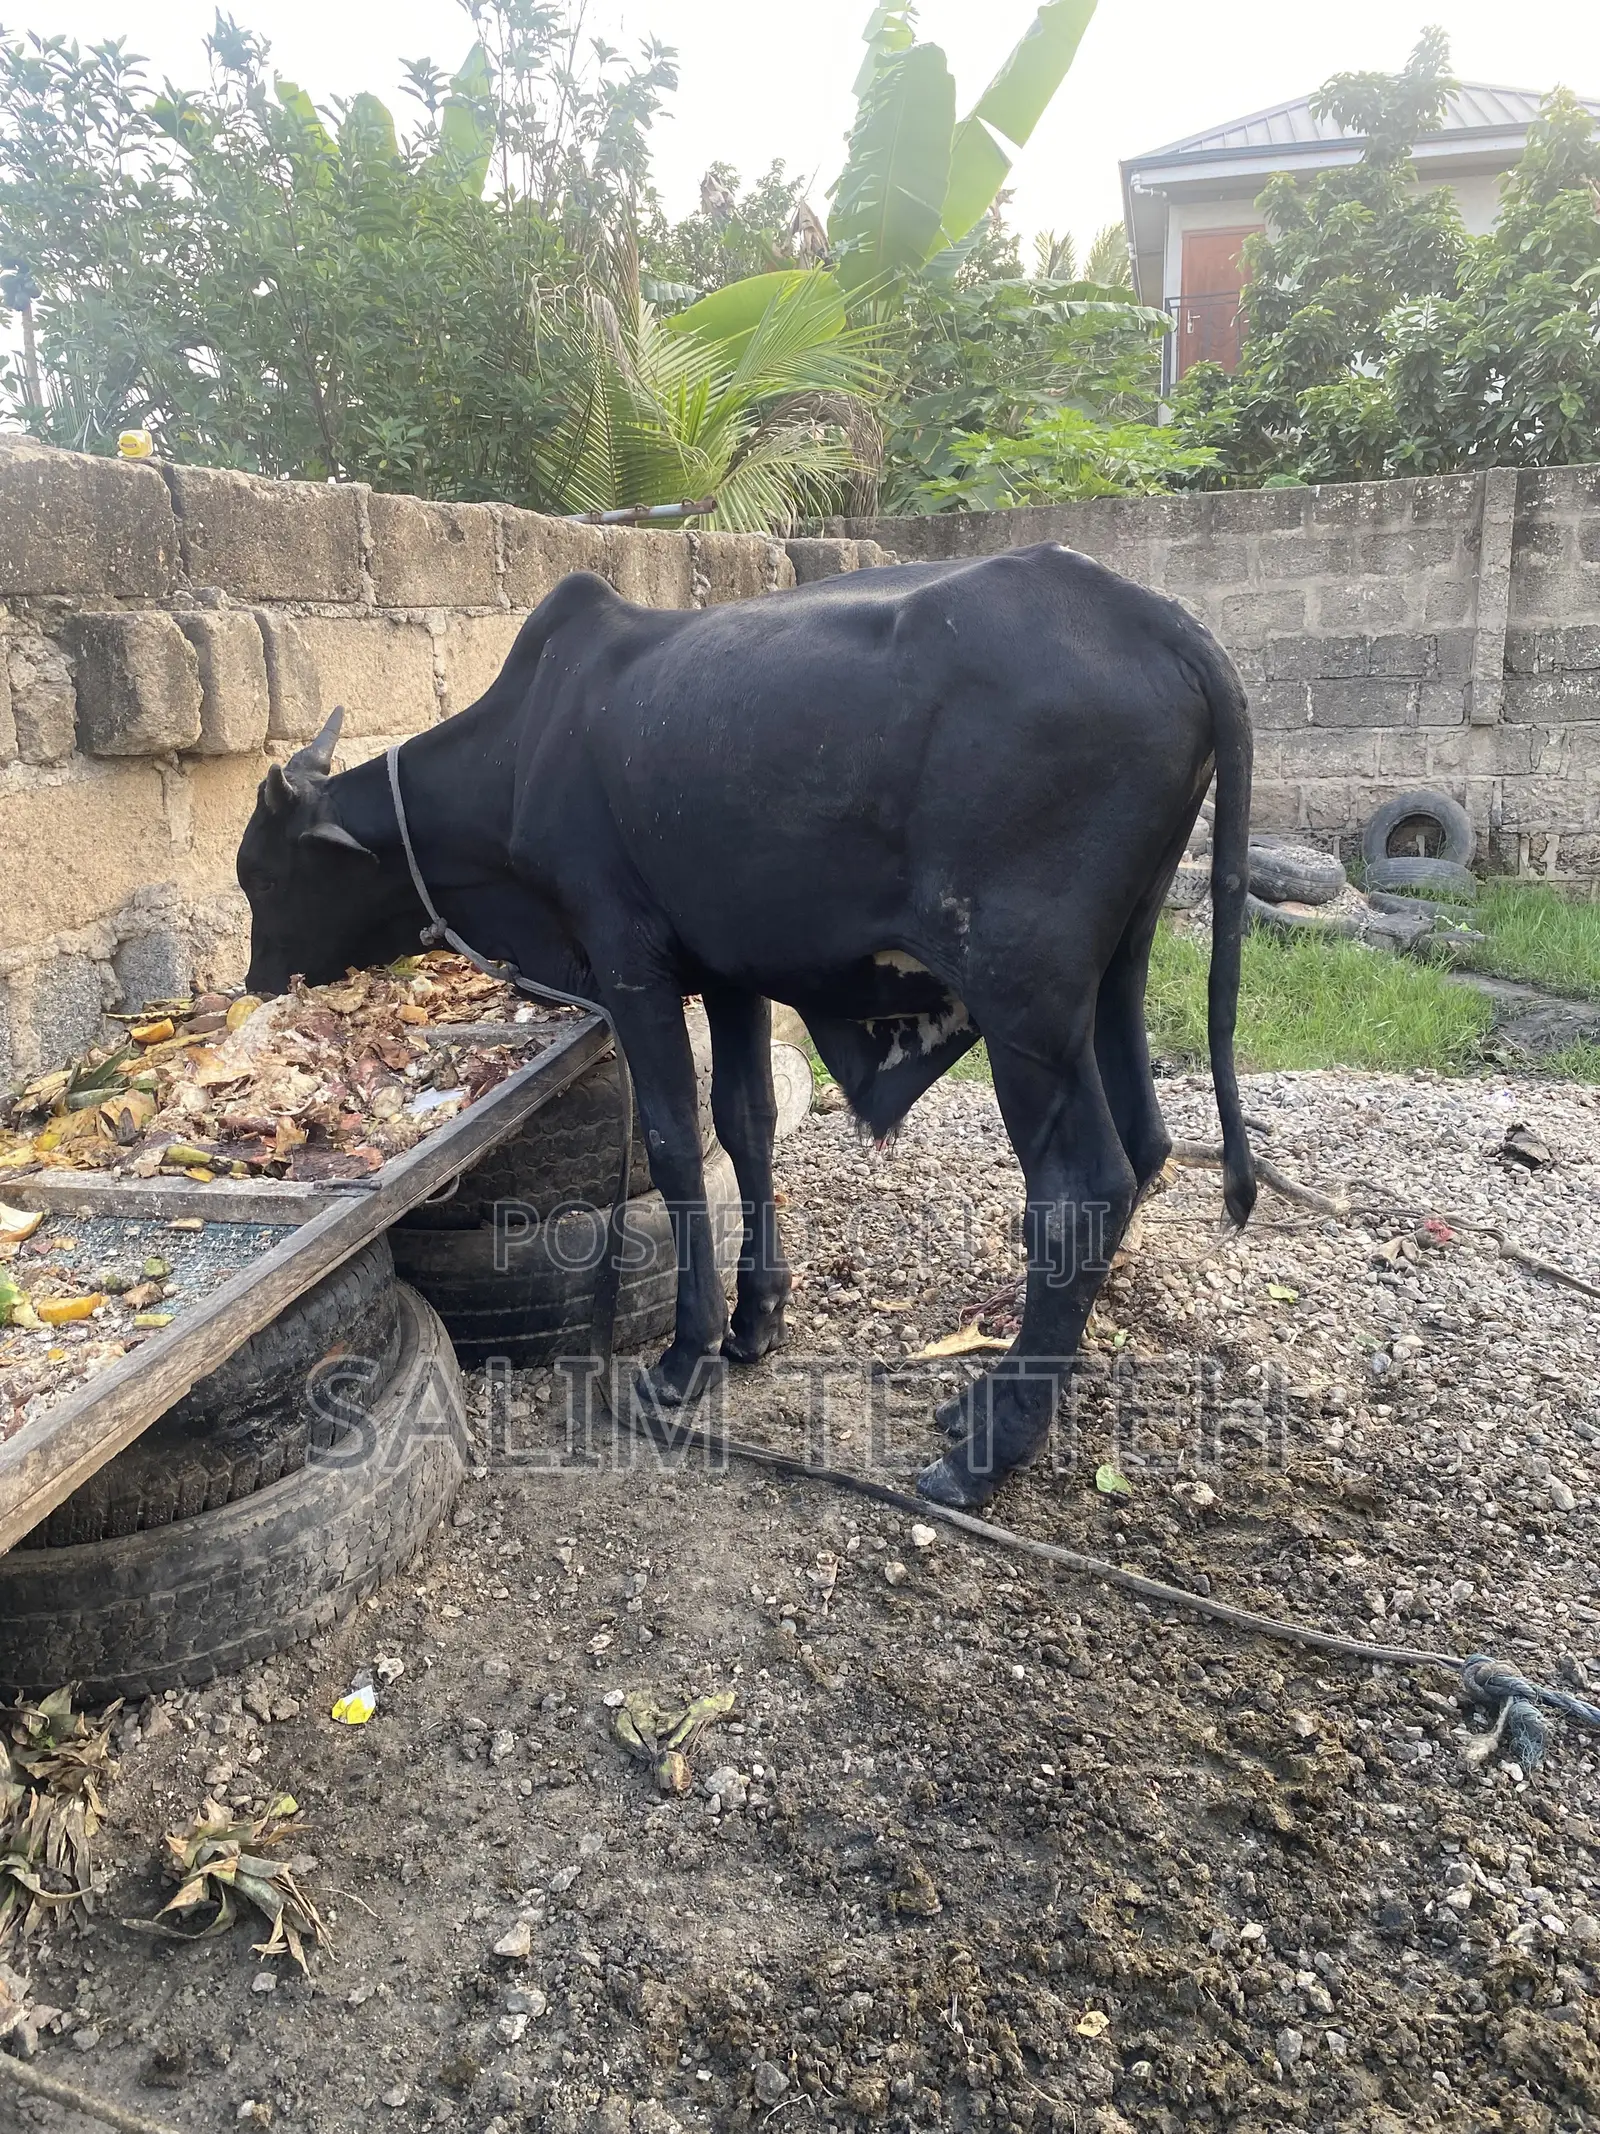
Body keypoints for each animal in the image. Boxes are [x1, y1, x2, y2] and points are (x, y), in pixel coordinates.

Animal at [236, 543, 1255, 1510]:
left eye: (266, 875)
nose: (254, 984)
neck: (522, 748)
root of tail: (1162, 621)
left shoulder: (630, 961)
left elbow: (676, 1144)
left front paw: (684, 1357)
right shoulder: (729, 972)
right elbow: (747, 1124)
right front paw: (757, 1319)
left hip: (1024, 998)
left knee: (1082, 1189)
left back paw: (990, 1448)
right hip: (1117, 966)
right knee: (1148, 1143)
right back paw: (991, 1392)